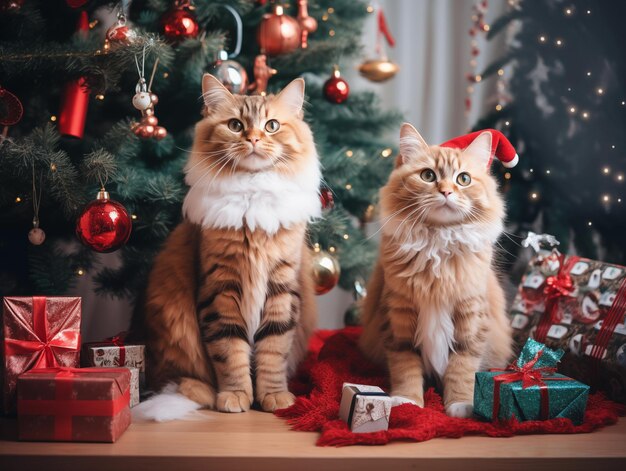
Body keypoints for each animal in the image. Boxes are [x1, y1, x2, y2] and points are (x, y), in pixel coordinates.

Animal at [143, 74, 320, 412]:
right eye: (236, 126)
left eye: (272, 126)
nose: (253, 139)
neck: (253, 192)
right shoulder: (221, 287)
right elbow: (229, 350)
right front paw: (236, 395)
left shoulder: (281, 286)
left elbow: (273, 350)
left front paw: (274, 396)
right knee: (178, 378)